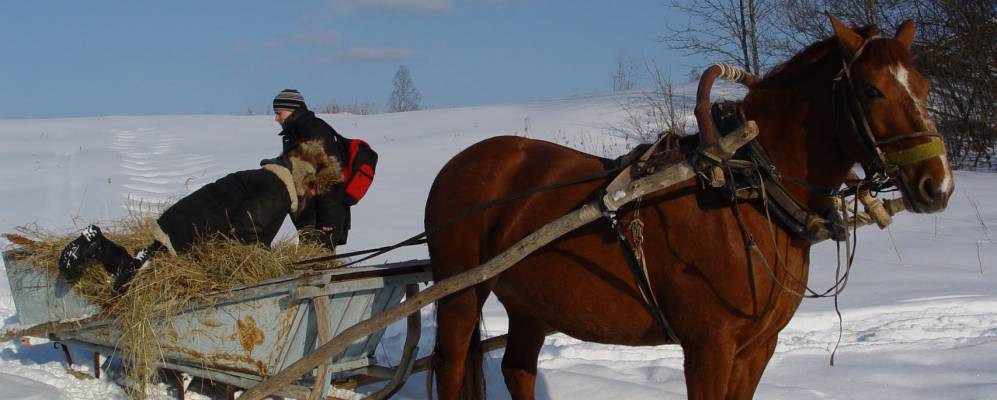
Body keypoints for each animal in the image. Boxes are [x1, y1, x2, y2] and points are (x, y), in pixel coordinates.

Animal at [424, 14, 952, 398]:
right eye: (871, 90)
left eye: (925, 87)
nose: (937, 185)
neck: (745, 182)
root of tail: (459, 164)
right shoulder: (708, 348)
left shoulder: (756, 349)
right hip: (460, 293)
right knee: (453, 369)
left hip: (529, 303)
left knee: (518, 370)